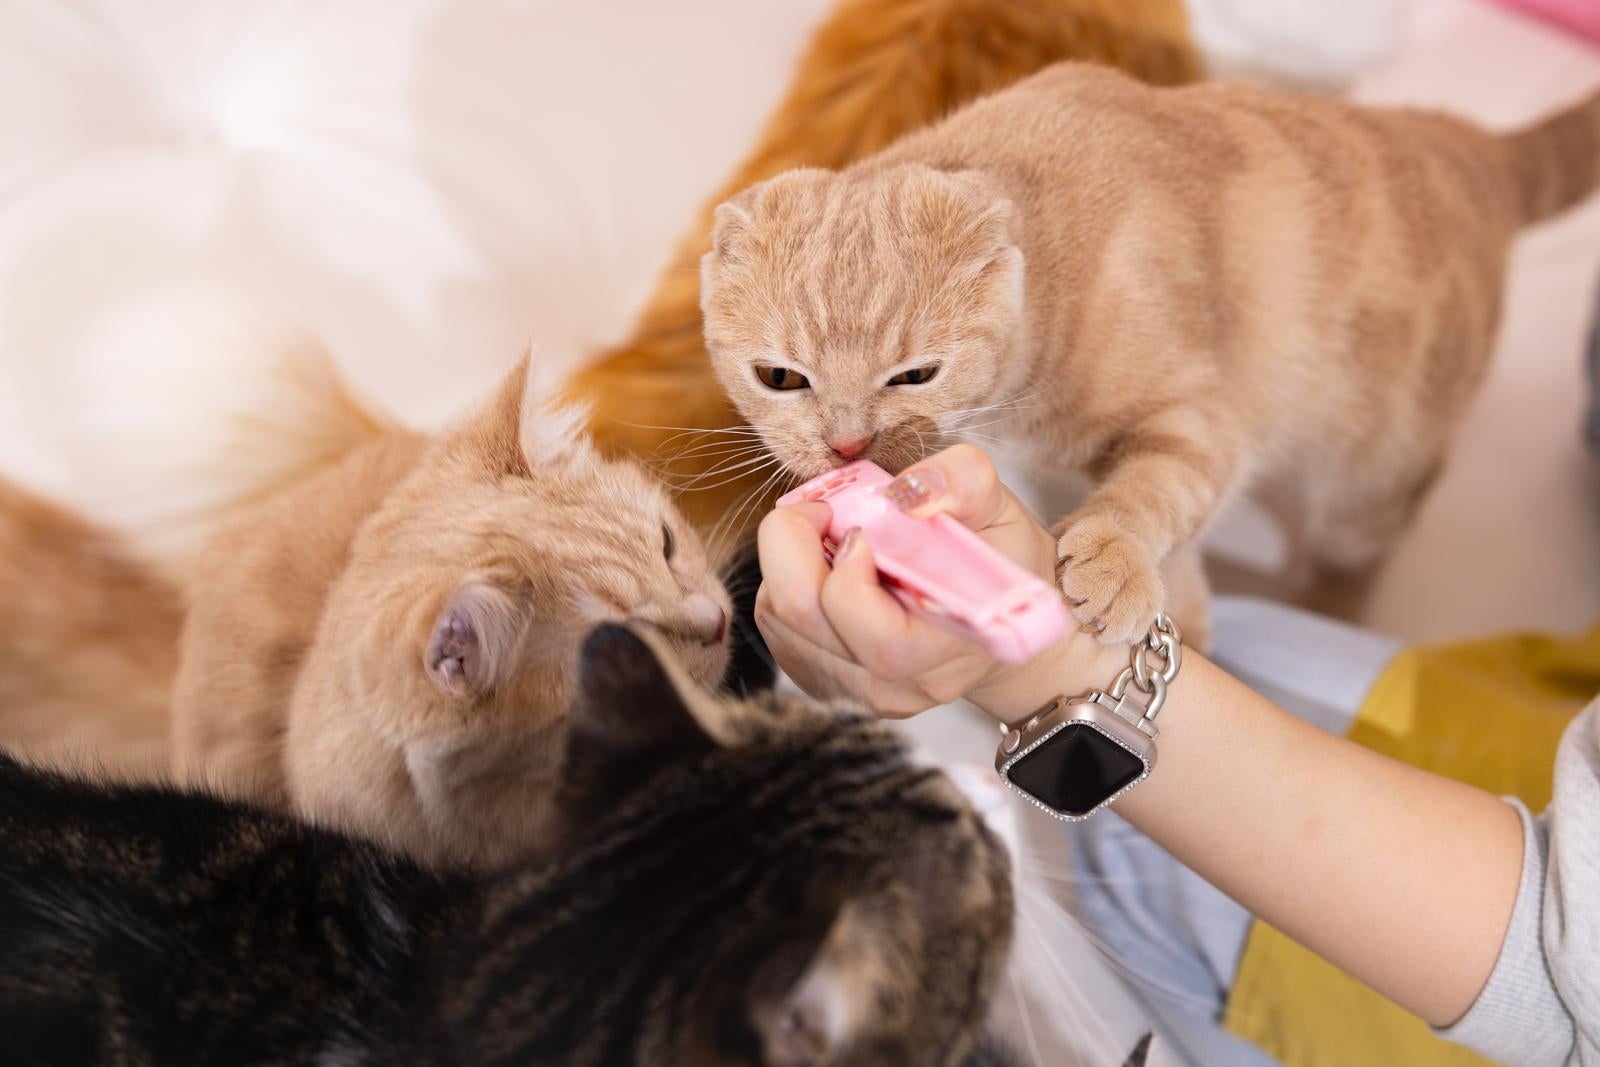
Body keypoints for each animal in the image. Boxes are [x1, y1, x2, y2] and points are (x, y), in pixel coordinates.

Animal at [700, 64, 1600, 643]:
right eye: (780, 378)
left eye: (915, 375)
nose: (846, 444)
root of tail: (1469, 144)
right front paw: (1191, 618)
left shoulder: (1203, 420)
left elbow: (1160, 487)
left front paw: (1117, 555)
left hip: (1369, 488)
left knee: (1352, 557)